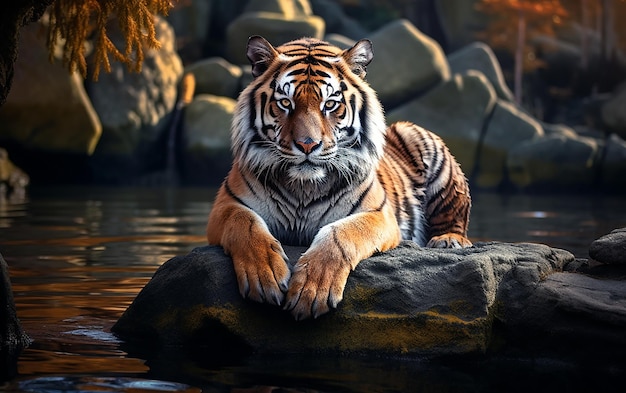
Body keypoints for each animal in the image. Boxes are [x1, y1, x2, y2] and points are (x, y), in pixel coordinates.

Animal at [207, 35, 470, 320]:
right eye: (285, 103)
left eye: (330, 104)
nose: (308, 145)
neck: (303, 187)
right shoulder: (226, 205)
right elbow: (246, 227)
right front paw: (265, 277)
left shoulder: (378, 214)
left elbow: (341, 234)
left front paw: (311, 290)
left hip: (423, 144)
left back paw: (448, 241)